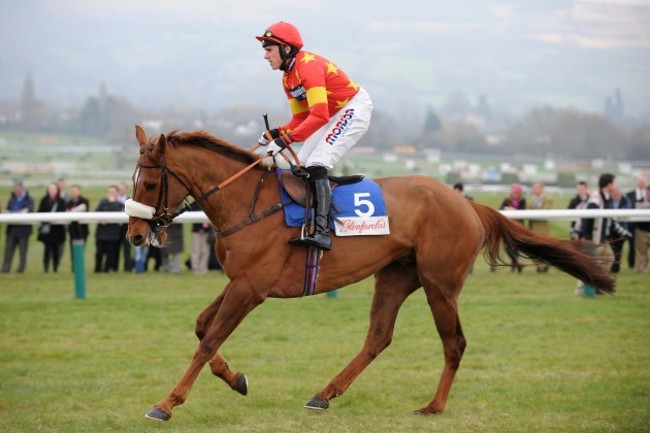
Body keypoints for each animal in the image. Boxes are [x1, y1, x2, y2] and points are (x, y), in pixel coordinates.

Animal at [126, 125, 614, 422]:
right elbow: (202, 326)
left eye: (148, 183)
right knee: (379, 337)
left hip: (439, 283)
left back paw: (433, 406)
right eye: (133, 182)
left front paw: (166, 403)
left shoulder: (251, 287)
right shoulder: (239, 282)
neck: (249, 202)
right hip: (395, 276)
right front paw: (238, 379)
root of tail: (468, 203)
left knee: (454, 342)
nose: (134, 234)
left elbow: (208, 340)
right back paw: (324, 394)